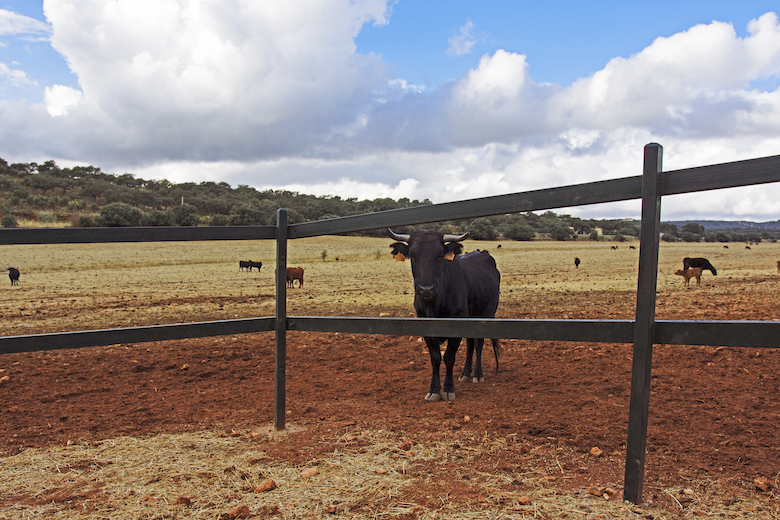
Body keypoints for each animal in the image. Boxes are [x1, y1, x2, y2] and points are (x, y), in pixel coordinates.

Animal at [388, 229, 501, 402]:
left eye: (440, 255)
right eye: (412, 256)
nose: (426, 289)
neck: (434, 305)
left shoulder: (456, 326)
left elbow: (449, 357)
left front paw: (448, 389)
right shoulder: (425, 328)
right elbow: (435, 358)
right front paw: (434, 390)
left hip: (485, 316)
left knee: (478, 344)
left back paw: (477, 374)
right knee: (470, 344)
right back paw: (465, 373)